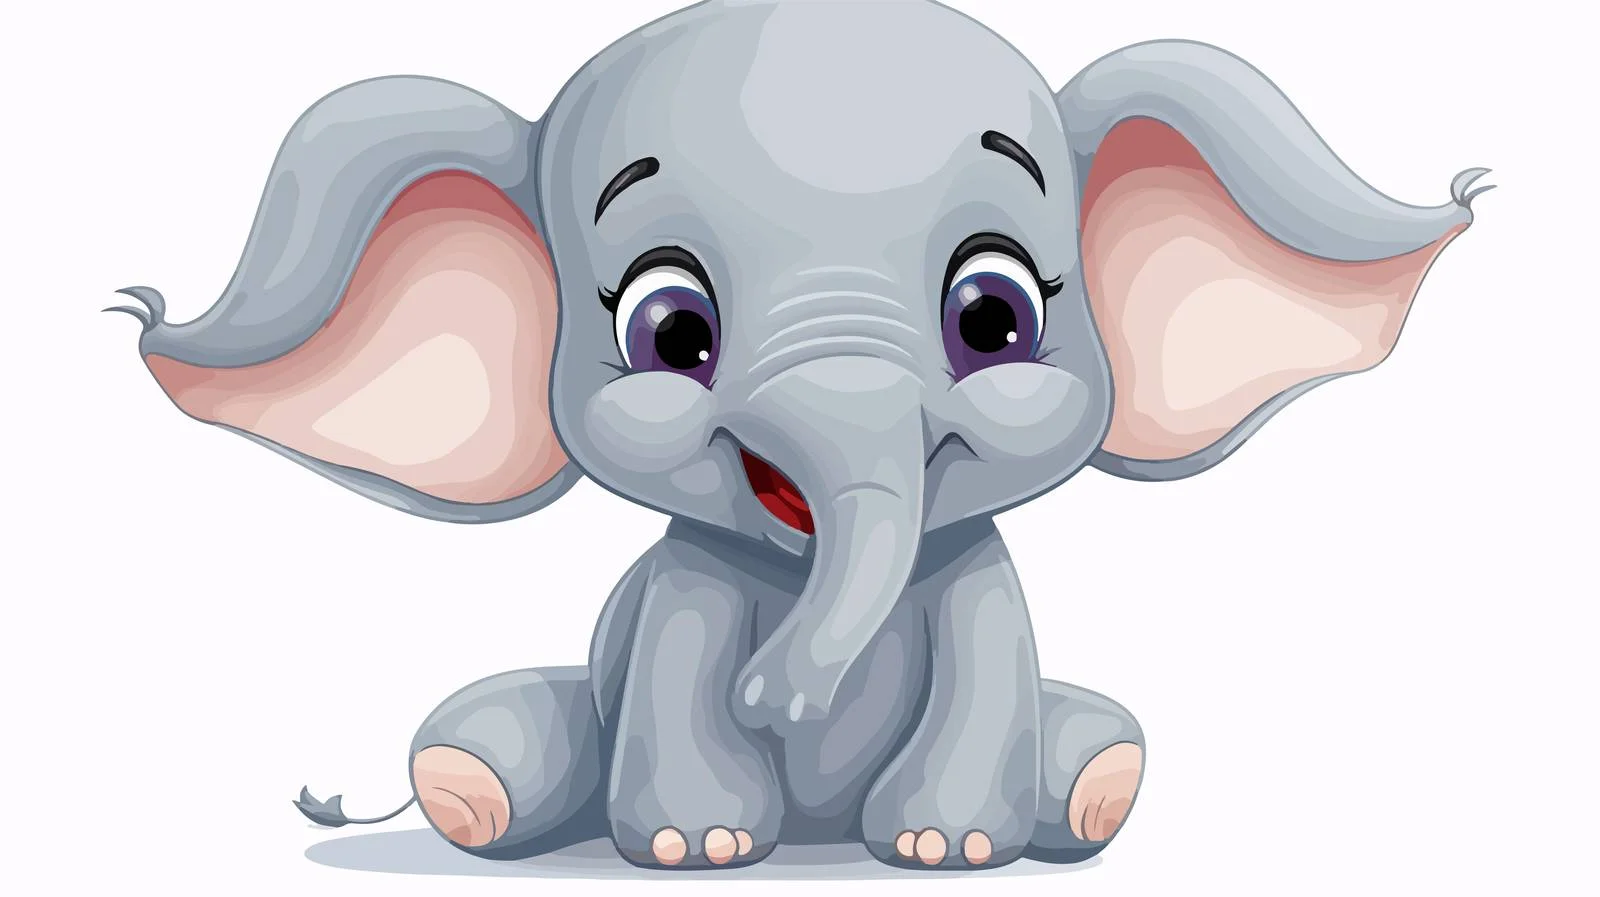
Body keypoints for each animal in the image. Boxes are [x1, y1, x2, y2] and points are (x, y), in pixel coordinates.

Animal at [109, 0, 1488, 873]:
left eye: (995, 316)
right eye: (671, 331)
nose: (780, 696)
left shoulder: (980, 585)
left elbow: (992, 674)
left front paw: (943, 847)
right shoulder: (687, 586)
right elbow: (677, 666)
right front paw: (698, 845)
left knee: (1104, 742)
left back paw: (1095, 794)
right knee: (476, 744)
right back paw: (471, 797)